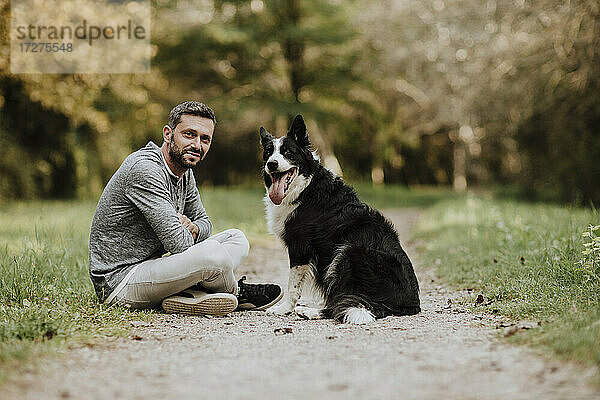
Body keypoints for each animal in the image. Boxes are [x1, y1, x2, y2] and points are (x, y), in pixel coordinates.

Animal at [260, 114, 420, 324]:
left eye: (287, 152)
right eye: (268, 153)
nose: (271, 164)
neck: (306, 188)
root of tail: (410, 303)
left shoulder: (299, 247)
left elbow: (293, 285)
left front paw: (284, 308)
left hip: (348, 251)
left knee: (343, 304)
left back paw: (310, 311)